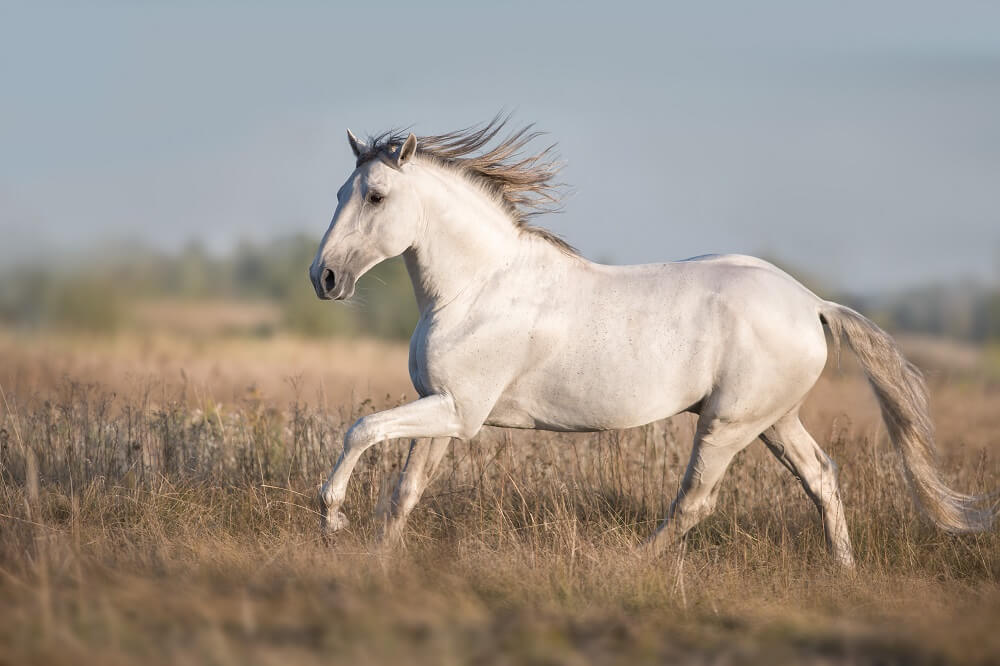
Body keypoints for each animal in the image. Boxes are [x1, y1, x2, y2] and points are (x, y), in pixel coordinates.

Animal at [308, 116, 996, 564]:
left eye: (376, 196)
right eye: (340, 191)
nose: (325, 278)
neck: (477, 287)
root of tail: (811, 304)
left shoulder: (458, 412)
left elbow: (360, 431)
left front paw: (331, 519)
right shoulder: (445, 412)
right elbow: (405, 494)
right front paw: (377, 557)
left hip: (726, 426)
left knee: (696, 502)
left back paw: (633, 565)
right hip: (772, 421)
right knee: (822, 479)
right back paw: (845, 575)